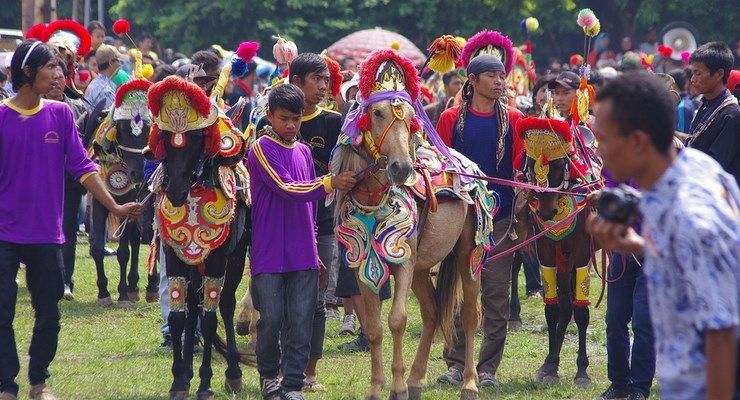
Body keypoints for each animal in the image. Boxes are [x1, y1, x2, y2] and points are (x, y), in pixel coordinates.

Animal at [89, 82, 160, 306]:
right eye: (123, 128)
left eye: (148, 128)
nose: (138, 173)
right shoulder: (100, 201)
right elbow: (96, 248)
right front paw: (104, 291)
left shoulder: (131, 204)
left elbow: (123, 252)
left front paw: (122, 293)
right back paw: (134, 286)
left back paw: (149, 286)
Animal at [147, 76, 251, 400]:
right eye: (165, 137)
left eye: (195, 138)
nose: (176, 192)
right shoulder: (174, 254)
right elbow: (178, 317)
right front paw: (179, 380)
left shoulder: (217, 257)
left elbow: (209, 318)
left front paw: (205, 383)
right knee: (192, 306)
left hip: (236, 255)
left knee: (225, 304)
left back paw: (233, 373)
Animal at [332, 97, 488, 400]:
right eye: (377, 113)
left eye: (411, 117)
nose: (401, 168)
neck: (376, 201)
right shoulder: (363, 269)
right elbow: (374, 328)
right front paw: (377, 388)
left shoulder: (403, 265)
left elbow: (397, 320)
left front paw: (397, 387)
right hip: (421, 269)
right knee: (432, 312)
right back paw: (416, 379)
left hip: (467, 255)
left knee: (469, 315)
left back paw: (469, 384)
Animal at [516, 116, 600, 388]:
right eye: (531, 166)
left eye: (561, 164)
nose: (546, 212)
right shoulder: (546, 249)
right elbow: (552, 310)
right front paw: (550, 366)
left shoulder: (582, 252)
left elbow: (582, 312)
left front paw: (582, 371)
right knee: (564, 307)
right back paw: (550, 362)